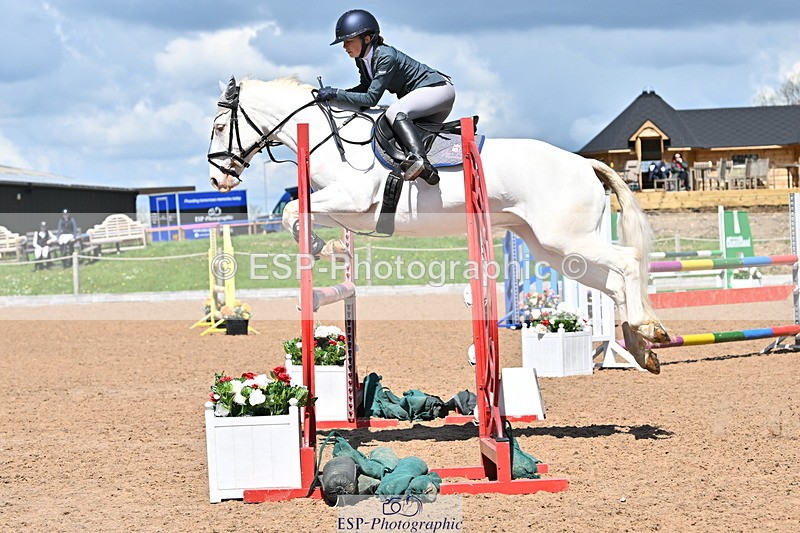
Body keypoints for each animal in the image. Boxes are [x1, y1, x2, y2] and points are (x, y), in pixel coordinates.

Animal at [207, 76, 669, 374]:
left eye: (219, 126)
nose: (218, 179)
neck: (327, 137)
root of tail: (585, 163)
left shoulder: (353, 200)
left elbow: (291, 210)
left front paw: (322, 249)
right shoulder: (342, 208)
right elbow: (297, 213)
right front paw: (333, 249)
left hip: (567, 238)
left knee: (628, 262)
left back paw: (647, 329)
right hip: (552, 247)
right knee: (611, 285)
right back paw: (642, 347)